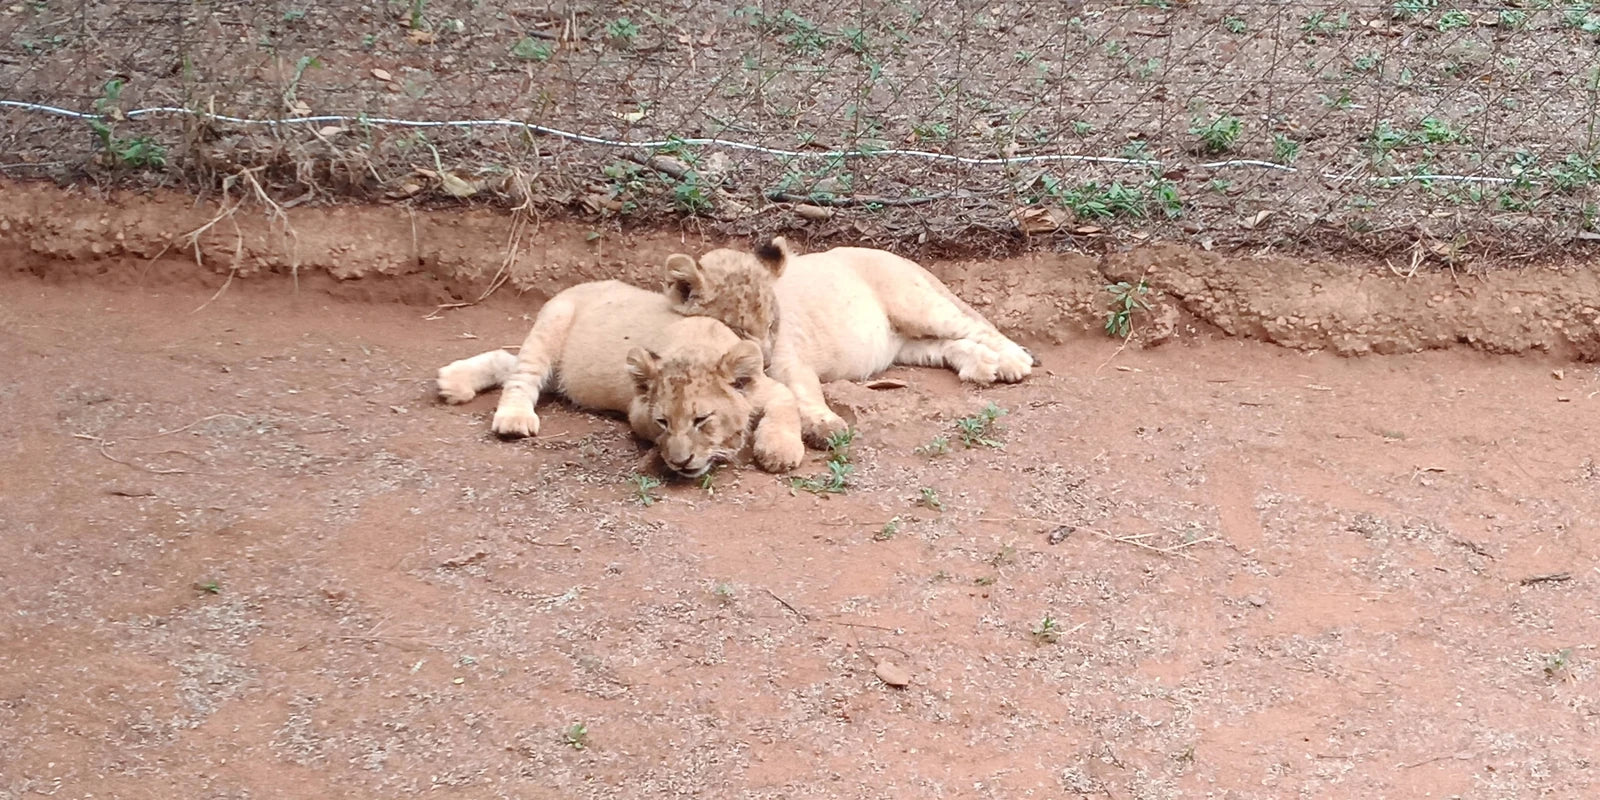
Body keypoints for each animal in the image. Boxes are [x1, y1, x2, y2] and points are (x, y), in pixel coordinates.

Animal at [435, 277, 805, 478]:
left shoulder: (766, 386)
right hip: (552, 325)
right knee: (522, 375)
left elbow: (788, 405)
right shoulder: (637, 409)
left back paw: (452, 380)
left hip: (559, 370)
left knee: (507, 361)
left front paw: (779, 450)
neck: (699, 344)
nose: (680, 463)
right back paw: (512, 418)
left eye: (702, 419)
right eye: (663, 422)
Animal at [671, 237, 1036, 445]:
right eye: (739, 328)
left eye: (772, 324)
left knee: (974, 326)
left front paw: (825, 426)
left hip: (914, 305)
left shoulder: (790, 359)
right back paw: (982, 365)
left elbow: (803, 390)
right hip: (904, 343)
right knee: (946, 345)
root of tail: (903, 258)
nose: (765, 360)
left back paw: (1013, 362)